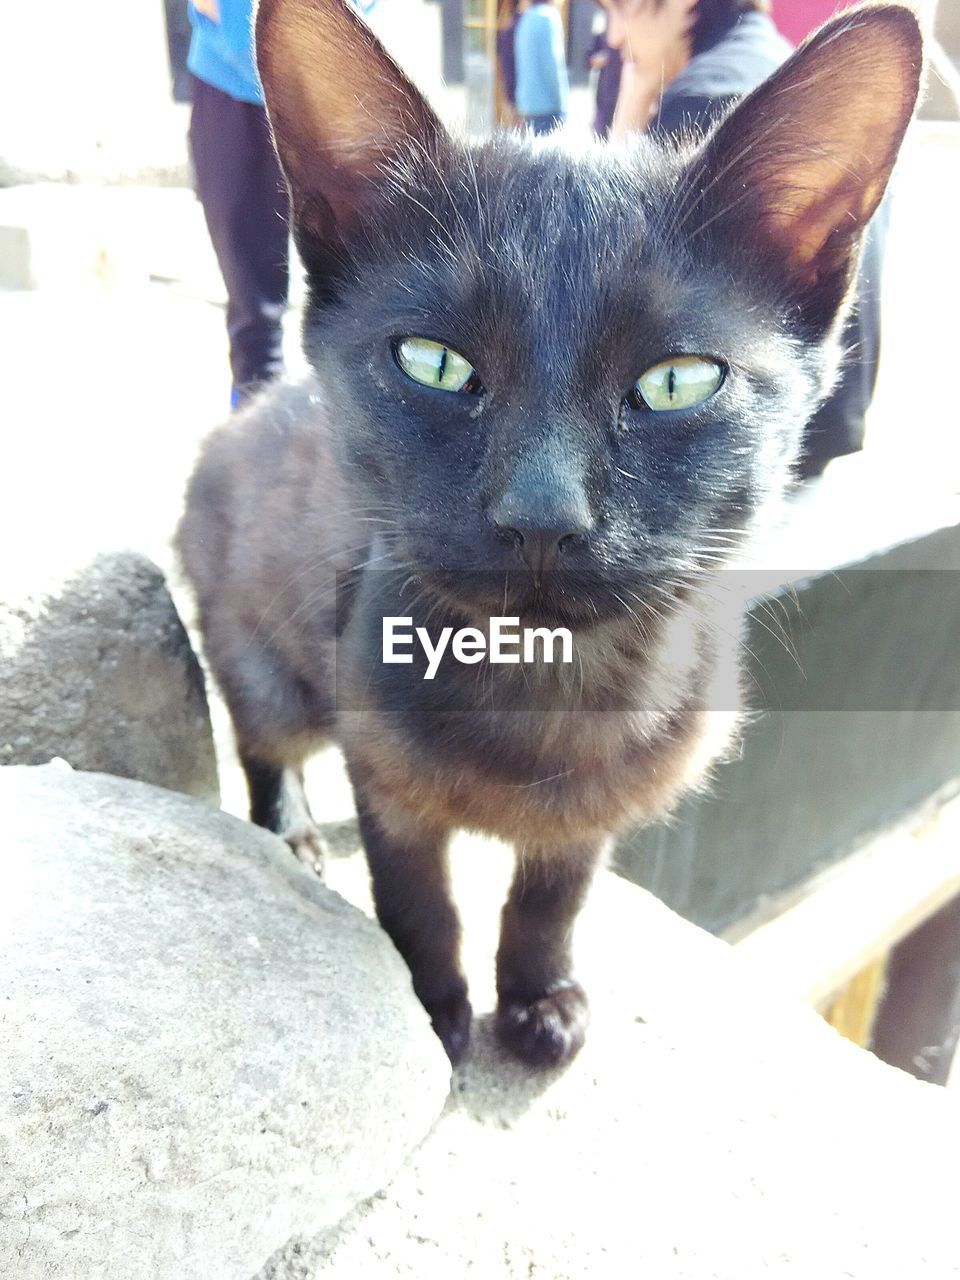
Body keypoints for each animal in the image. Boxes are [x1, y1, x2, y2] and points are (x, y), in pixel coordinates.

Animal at [179, 0, 926, 1070]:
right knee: (261, 736)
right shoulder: (390, 782)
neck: (545, 694)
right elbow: (418, 900)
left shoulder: (594, 811)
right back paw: (288, 831)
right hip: (267, 660)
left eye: (678, 382)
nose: (541, 512)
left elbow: (552, 900)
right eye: (434, 363)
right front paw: (436, 1008)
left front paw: (539, 1000)